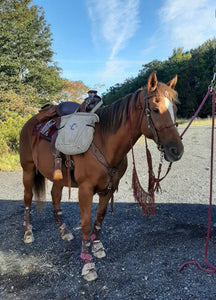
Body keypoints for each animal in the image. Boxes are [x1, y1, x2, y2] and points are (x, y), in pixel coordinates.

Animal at [19, 72, 184, 282]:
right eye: (155, 109)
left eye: (175, 108)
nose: (177, 151)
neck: (104, 141)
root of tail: (30, 122)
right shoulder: (85, 190)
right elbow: (86, 224)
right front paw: (87, 264)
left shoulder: (109, 188)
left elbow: (100, 217)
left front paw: (96, 246)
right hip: (28, 170)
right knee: (27, 198)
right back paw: (28, 232)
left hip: (59, 178)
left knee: (55, 196)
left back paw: (63, 230)